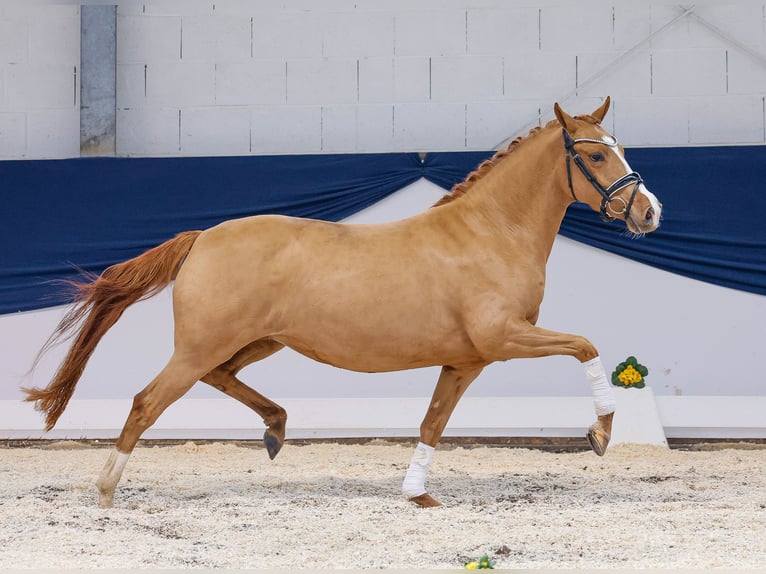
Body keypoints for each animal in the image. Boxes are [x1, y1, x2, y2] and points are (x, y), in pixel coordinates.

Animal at [24, 99, 660, 508]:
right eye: (595, 157)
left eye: (622, 149)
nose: (650, 212)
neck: (490, 232)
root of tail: (202, 238)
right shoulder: (502, 337)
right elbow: (586, 346)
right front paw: (601, 434)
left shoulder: (465, 360)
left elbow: (432, 422)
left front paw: (417, 494)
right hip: (203, 346)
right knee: (146, 402)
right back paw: (106, 491)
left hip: (256, 342)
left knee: (219, 378)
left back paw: (276, 429)